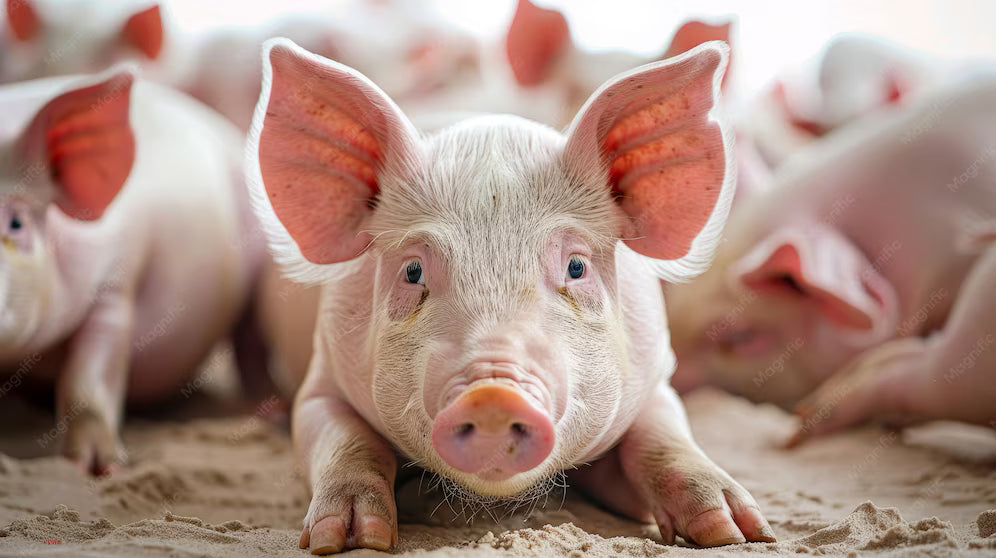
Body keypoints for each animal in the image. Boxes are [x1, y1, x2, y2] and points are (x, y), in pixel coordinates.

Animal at [247, 38, 775, 553]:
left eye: (577, 266)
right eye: (413, 272)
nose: (493, 394)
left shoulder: (655, 373)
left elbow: (665, 440)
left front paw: (737, 532)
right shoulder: (323, 375)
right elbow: (345, 441)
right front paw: (350, 539)